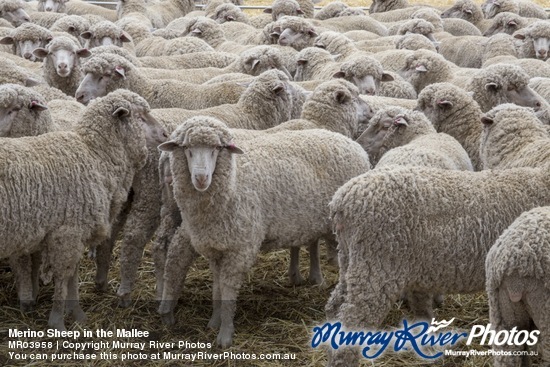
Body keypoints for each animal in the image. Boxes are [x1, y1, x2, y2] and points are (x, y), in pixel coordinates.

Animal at [0, 90, 167, 330]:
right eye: (140, 116)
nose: (165, 133)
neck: (95, 156)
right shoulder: (67, 233)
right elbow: (62, 277)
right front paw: (57, 321)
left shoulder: (78, 232)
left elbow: (73, 275)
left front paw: (77, 313)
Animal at [155, 117, 370, 348]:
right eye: (186, 148)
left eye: (218, 149)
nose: (201, 178)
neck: (234, 182)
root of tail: (351, 143)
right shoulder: (217, 246)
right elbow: (218, 288)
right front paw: (216, 322)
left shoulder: (237, 248)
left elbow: (226, 289)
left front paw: (224, 333)